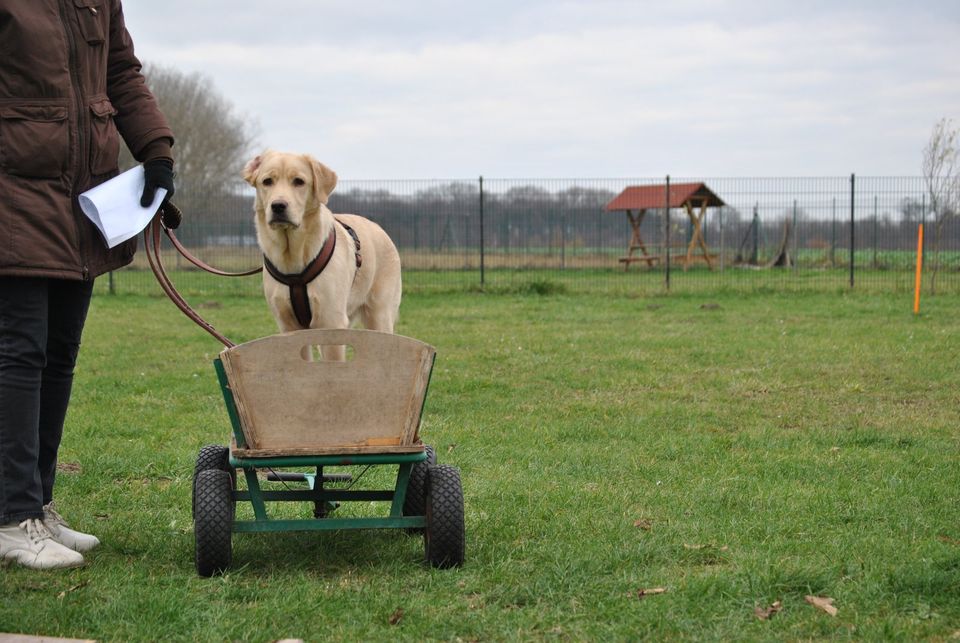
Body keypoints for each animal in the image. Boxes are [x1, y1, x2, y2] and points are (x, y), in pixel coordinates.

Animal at [244, 150, 404, 352]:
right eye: (267, 181)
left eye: (299, 181)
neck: (293, 256)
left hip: (379, 315)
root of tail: (379, 228)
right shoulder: (288, 325)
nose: (278, 205)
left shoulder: (331, 321)